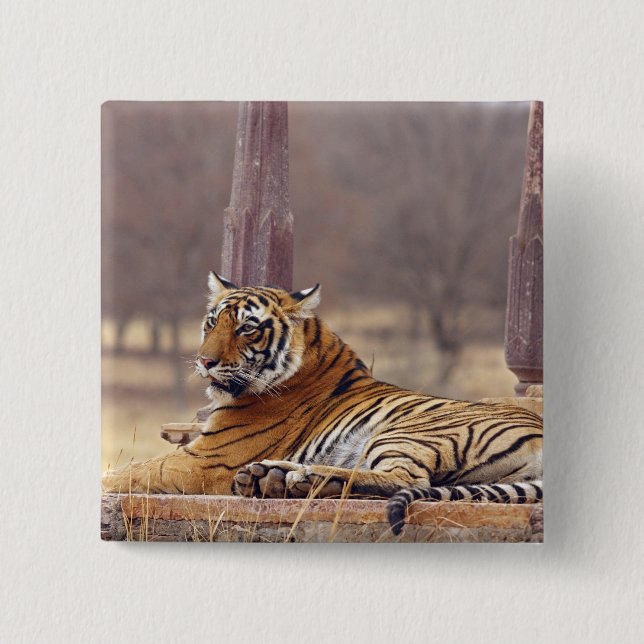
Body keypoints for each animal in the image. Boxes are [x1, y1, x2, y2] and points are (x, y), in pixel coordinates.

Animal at [102, 272, 543, 535]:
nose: (204, 361)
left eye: (246, 328)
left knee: (408, 481)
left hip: (409, 431)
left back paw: (302, 478)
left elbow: (127, 471)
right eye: (212, 322)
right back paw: (277, 478)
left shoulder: (206, 460)